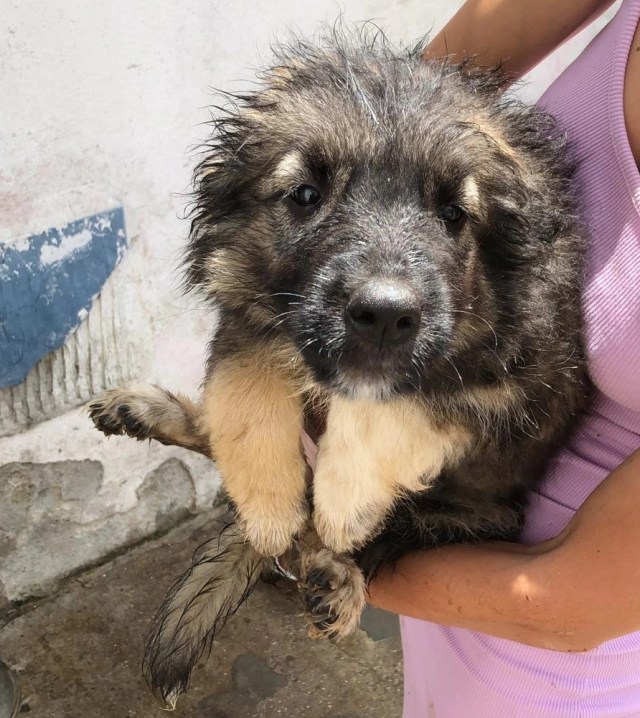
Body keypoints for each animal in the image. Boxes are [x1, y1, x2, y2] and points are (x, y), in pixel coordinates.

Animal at [89, 32, 589, 707]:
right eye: (305, 195)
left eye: (455, 215)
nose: (384, 315)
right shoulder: (249, 310)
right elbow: (248, 387)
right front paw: (269, 508)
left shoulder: (516, 376)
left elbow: (408, 402)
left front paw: (343, 501)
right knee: (213, 435)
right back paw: (145, 412)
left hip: (484, 513)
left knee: (395, 531)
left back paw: (339, 577)